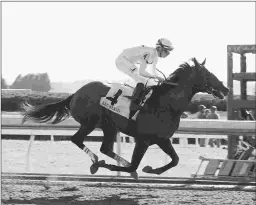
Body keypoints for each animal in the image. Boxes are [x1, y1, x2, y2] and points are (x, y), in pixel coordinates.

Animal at [21, 57, 230, 178]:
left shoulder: (162, 139)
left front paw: (151, 169)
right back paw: (96, 161)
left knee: (105, 147)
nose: (226, 89)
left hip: (109, 126)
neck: (165, 104)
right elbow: (134, 165)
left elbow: (175, 160)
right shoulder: (143, 140)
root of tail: (75, 93)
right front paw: (125, 169)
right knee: (77, 140)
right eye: (208, 74)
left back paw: (102, 161)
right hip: (91, 122)